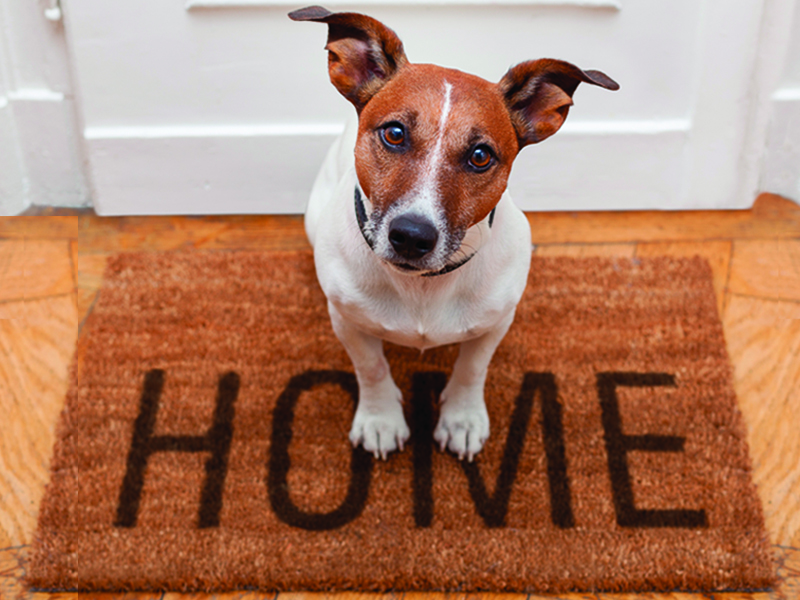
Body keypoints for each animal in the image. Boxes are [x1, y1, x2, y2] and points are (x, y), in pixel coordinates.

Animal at [290, 7, 616, 462]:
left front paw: (462, 419)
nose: (411, 236)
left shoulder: (496, 322)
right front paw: (380, 419)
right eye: (394, 133)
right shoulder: (347, 320)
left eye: (481, 156)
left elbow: (472, 369)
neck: (423, 287)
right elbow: (371, 367)